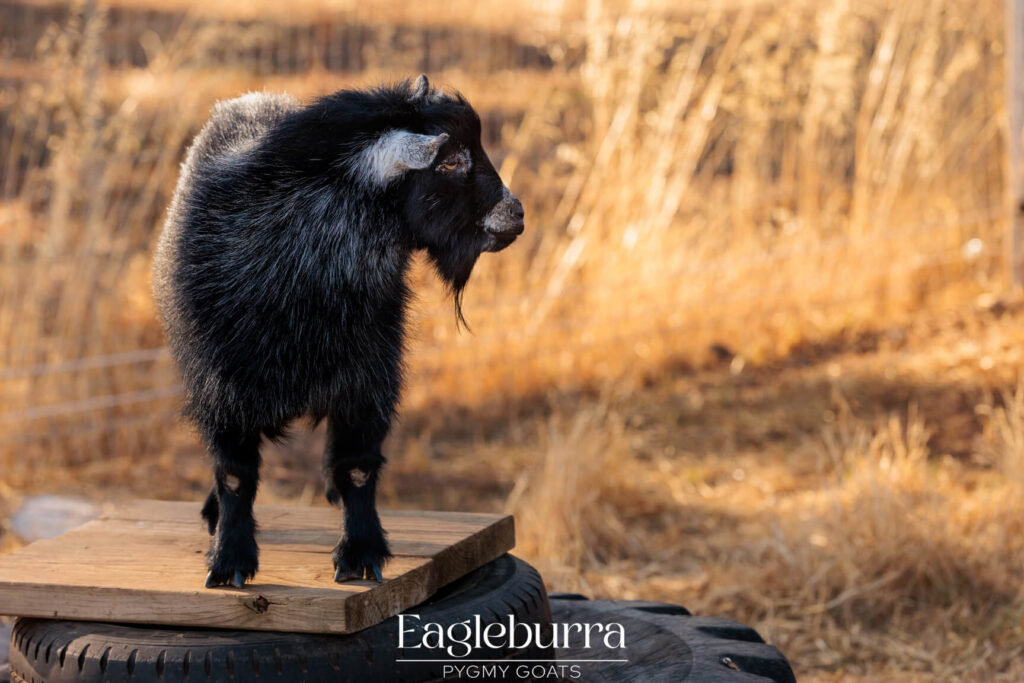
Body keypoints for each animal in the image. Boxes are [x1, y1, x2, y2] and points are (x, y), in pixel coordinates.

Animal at [155, 73, 524, 589]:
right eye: (452, 162)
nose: (518, 214)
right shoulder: (220, 392)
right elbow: (233, 475)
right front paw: (229, 561)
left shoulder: (368, 380)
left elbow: (357, 469)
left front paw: (360, 554)